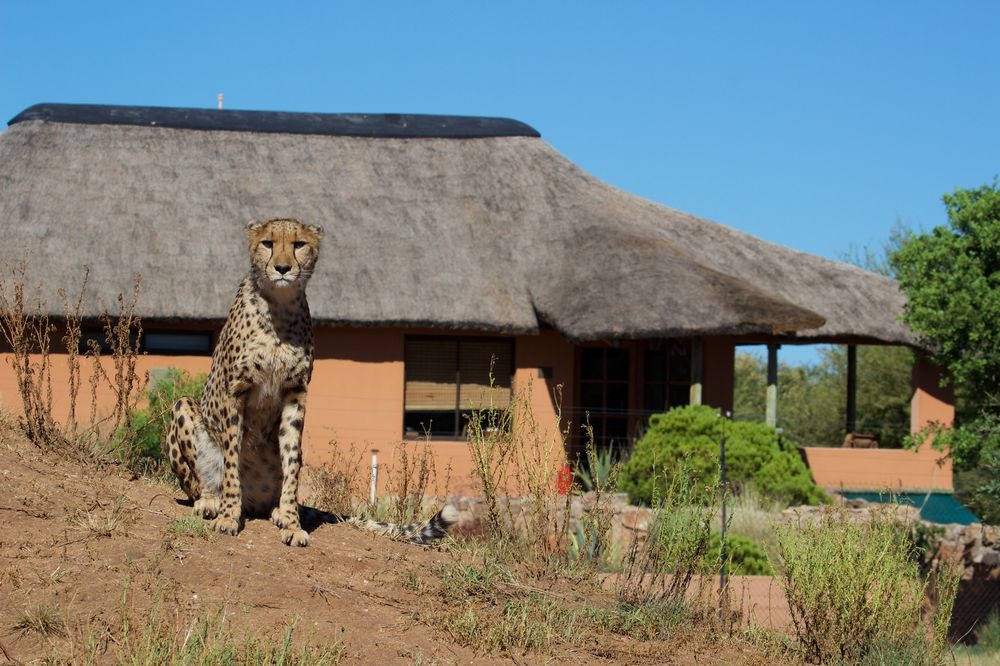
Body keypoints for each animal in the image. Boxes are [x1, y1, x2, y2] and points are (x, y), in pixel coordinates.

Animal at [166, 217, 458, 547]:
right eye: (267, 243)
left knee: (272, 496)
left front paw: (292, 524)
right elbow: (230, 461)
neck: (279, 310)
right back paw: (210, 501)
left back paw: (279, 511)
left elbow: (291, 464)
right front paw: (229, 516)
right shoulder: (237, 389)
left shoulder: (295, 393)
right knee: (198, 481)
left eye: (299, 245)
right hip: (183, 408)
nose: (282, 268)